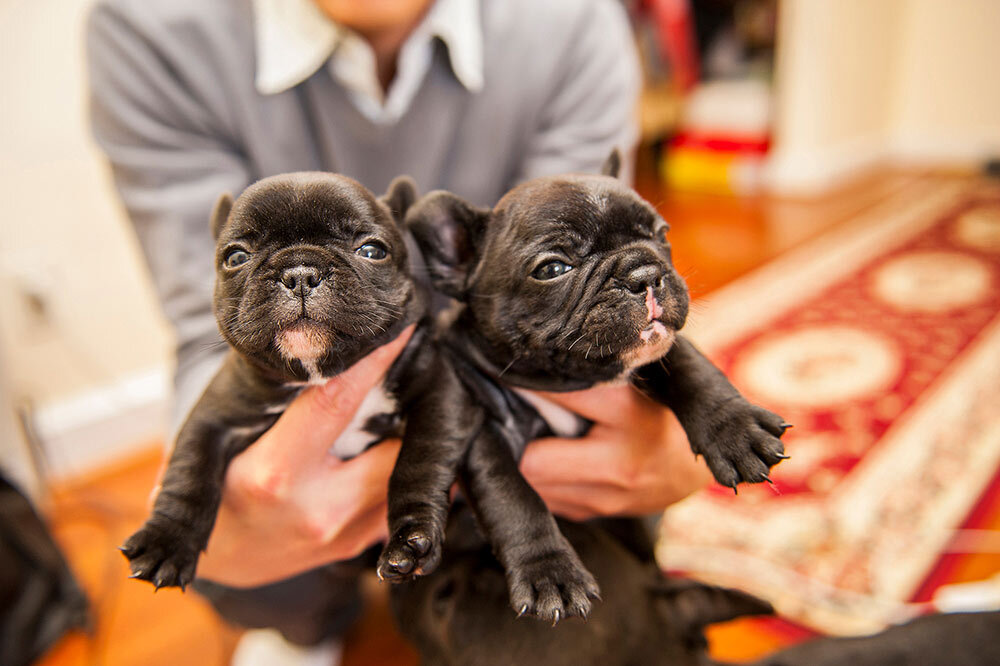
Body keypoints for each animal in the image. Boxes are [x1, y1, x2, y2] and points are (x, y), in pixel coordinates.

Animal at [121, 171, 426, 588]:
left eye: (372, 250)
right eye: (236, 257)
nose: (300, 273)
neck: (314, 376)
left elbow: (418, 460)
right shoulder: (213, 418)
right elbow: (189, 472)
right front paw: (165, 542)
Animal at [376, 150, 788, 624]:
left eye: (661, 233)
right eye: (553, 268)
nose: (645, 271)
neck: (567, 381)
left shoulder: (654, 353)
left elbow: (688, 364)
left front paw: (735, 431)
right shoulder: (482, 424)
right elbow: (511, 495)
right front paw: (549, 573)